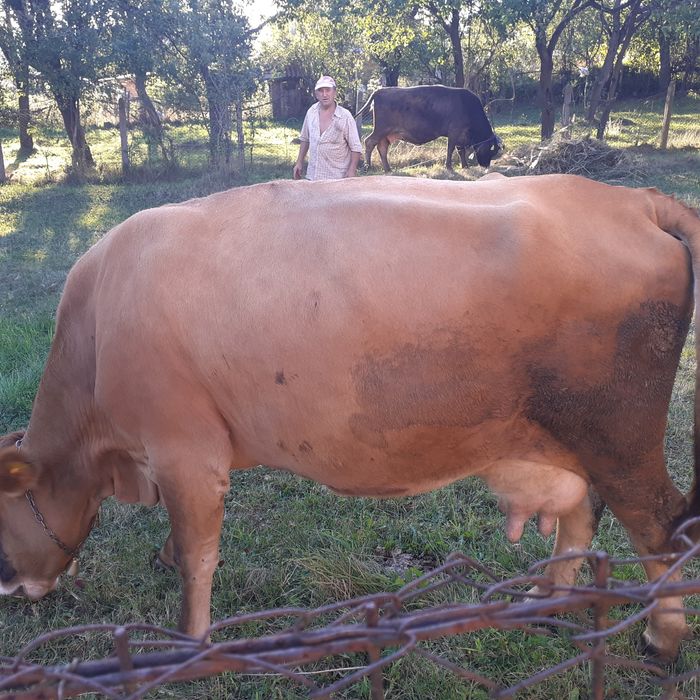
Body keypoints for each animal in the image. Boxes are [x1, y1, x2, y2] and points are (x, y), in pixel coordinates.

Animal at [1, 174, 700, 661]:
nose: (10, 588)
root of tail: (632, 201)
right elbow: (184, 545)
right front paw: (166, 560)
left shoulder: (186, 451)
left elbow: (200, 557)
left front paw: (188, 645)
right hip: (572, 441)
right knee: (581, 514)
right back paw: (545, 598)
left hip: (620, 439)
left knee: (660, 530)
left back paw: (661, 641)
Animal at [355, 85, 502, 172]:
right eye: (491, 150)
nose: (486, 165)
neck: (468, 107)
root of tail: (381, 90)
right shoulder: (454, 133)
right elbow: (451, 150)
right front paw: (449, 167)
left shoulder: (461, 137)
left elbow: (460, 151)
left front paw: (465, 166)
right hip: (381, 129)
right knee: (369, 142)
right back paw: (368, 166)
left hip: (386, 134)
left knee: (382, 147)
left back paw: (388, 169)